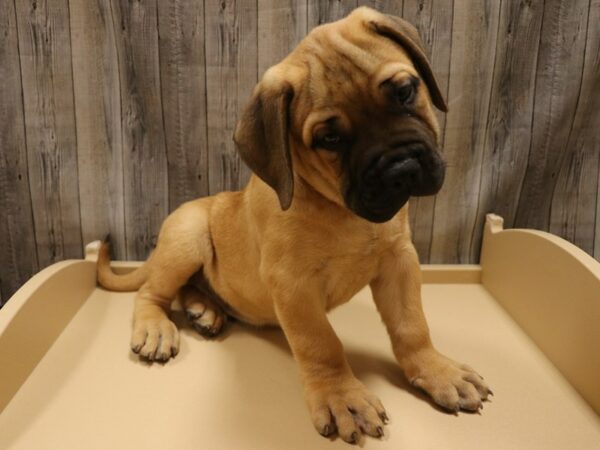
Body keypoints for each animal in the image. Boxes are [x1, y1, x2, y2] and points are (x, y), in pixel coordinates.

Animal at [97, 6, 492, 442]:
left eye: (405, 91)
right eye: (330, 139)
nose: (401, 169)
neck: (342, 210)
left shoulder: (399, 259)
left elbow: (412, 325)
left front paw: (438, 371)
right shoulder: (293, 285)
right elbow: (322, 343)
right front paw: (341, 396)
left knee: (187, 289)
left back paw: (205, 309)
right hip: (188, 236)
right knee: (151, 292)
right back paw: (157, 327)